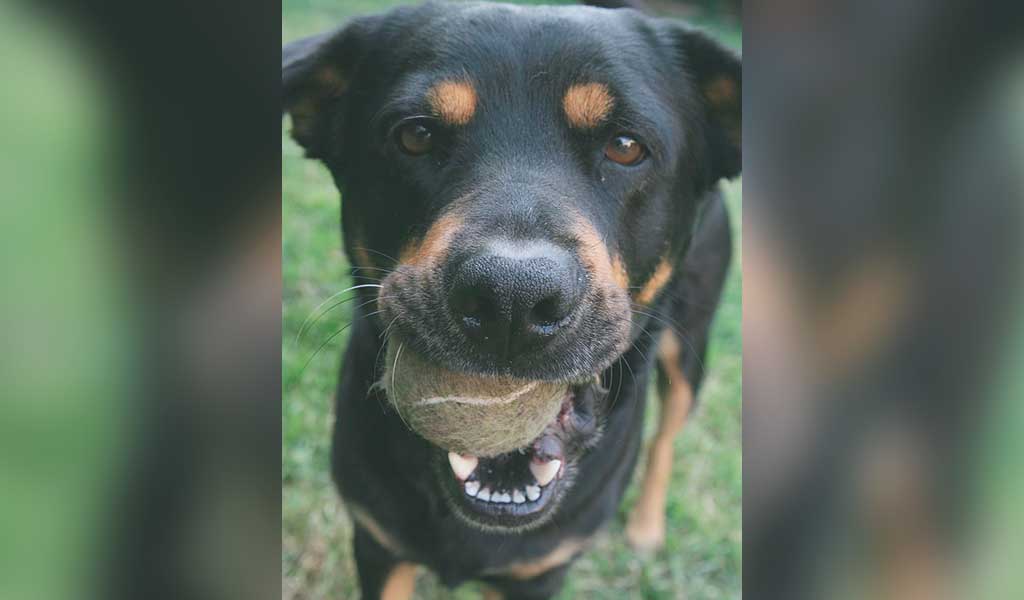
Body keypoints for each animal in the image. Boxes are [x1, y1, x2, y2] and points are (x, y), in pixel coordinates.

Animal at [284, 2, 741, 593]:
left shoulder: (540, 571)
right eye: (415, 135)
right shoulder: (377, 542)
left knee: (667, 434)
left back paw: (645, 526)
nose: (511, 301)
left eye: (625, 147)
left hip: (690, 347)